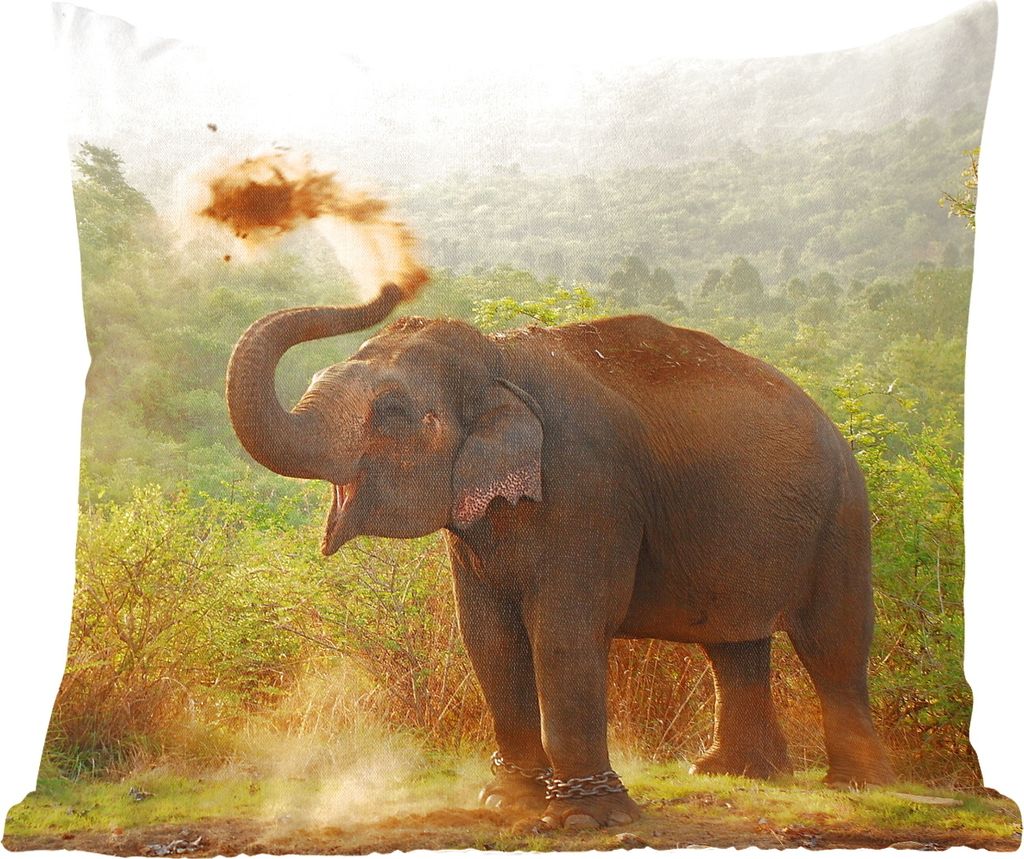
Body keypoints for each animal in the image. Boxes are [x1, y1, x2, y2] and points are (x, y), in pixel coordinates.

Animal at [226, 281, 896, 830]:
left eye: (391, 412)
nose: (394, 283)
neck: (499, 361)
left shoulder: (588, 487)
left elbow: (565, 633)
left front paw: (584, 819)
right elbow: (489, 635)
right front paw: (507, 802)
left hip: (842, 515)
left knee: (832, 641)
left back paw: (855, 785)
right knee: (734, 642)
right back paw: (732, 774)